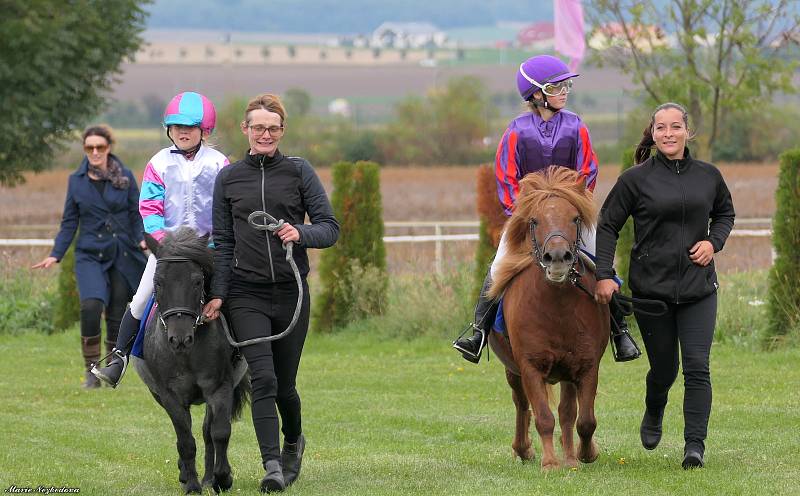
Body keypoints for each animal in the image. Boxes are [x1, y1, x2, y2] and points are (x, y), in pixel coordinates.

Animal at [134, 228, 248, 492]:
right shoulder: (169, 396)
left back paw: (208, 478)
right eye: (158, 282)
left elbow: (219, 433)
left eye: (197, 281)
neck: (186, 355)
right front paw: (192, 485)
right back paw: (187, 474)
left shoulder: (219, 388)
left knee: (207, 432)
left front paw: (222, 478)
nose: (180, 339)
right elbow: (185, 440)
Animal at [484, 167, 608, 468]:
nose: (558, 257)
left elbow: (583, 419)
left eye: (575, 217)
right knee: (521, 403)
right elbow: (543, 416)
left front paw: (581, 456)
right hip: (513, 369)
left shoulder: (585, 365)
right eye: (534, 220)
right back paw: (523, 449)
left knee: (567, 411)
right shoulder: (529, 365)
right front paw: (550, 463)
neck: (556, 307)